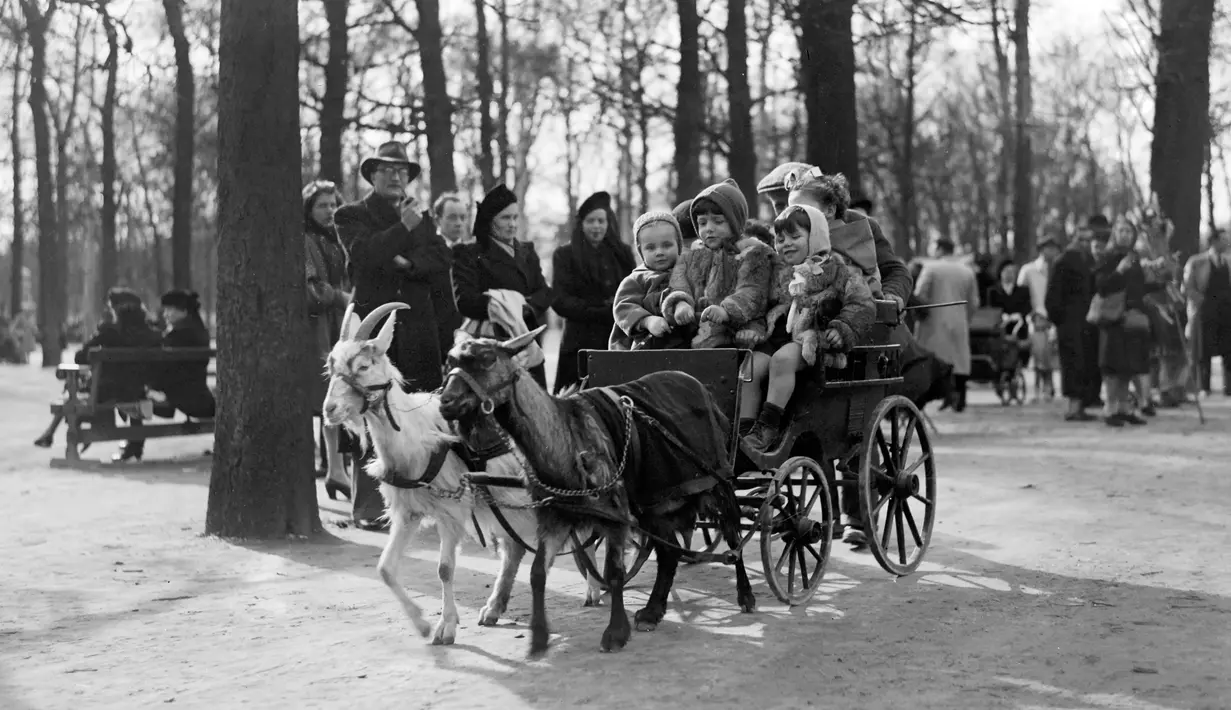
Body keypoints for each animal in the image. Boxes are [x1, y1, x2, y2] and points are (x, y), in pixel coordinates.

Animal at [320, 301, 603, 644]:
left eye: (362, 367)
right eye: (331, 368)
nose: (329, 410)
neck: (417, 438)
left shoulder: (450, 511)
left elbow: (444, 569)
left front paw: (445, 627)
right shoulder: (408, 511)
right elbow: (385, 568)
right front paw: (422, 624)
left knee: (584, 535)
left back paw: (593, 589)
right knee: (514, 548)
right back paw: (493, 608)